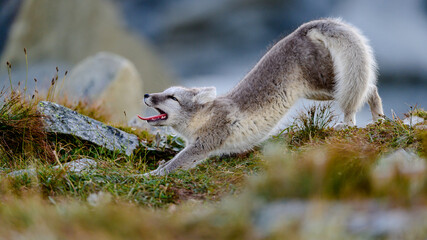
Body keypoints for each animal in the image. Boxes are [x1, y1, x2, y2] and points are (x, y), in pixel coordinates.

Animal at [140, 18, 384, 176]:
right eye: (164, 92)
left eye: (172, 97)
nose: (146, 94)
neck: (203, 118)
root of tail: (301, 30)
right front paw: (155, 169)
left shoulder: (204, 144)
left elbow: (174, 164)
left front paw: (146, 176)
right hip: (317, 91)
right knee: (368, 87)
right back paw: (379, 120)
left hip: (328, 85)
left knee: (366, 89)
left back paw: (355, 122)